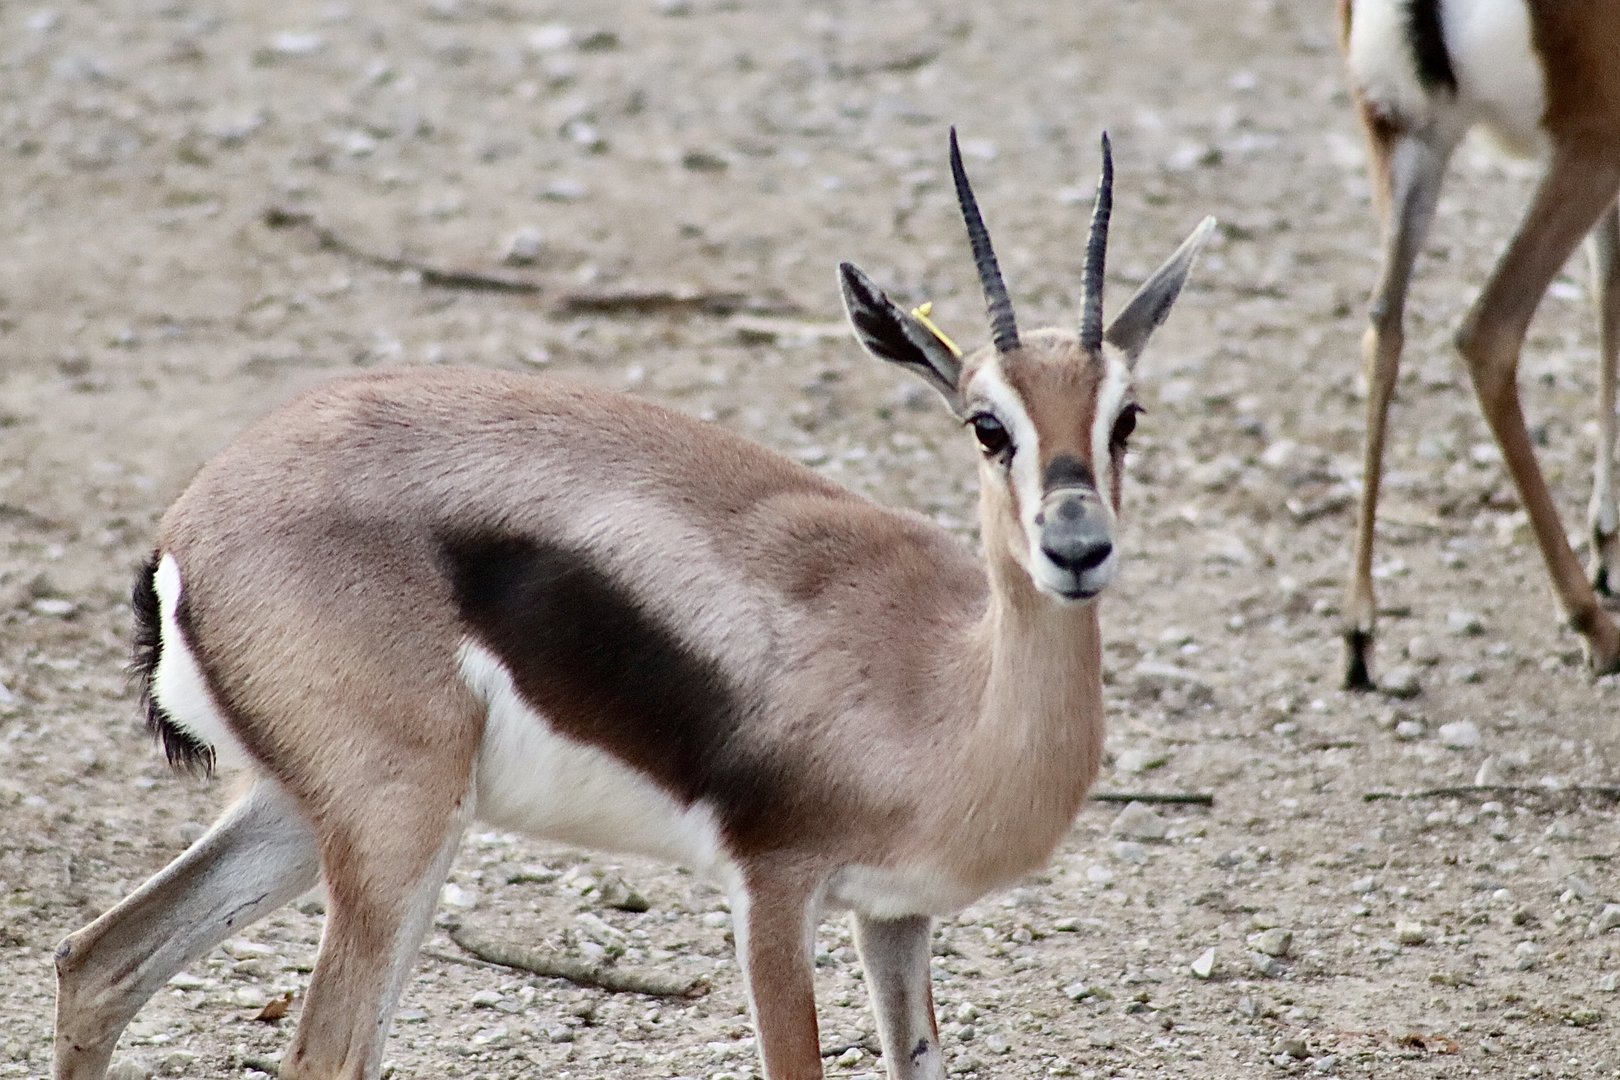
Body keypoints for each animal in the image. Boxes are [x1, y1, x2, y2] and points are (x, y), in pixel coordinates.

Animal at [52, 131, 1214, 1080]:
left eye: (1126, 417)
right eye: (986, 424)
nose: (1077, 548)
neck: (951, 695)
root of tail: (190, 524)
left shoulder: (897, 914)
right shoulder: (774, 890)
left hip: (304, 815)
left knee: (97, 961)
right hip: (398, 830)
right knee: (324, 1053)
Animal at [1338, 0, 1620, 688]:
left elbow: (1608, 283)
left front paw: (1608, 540)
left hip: (1411, 142)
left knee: (1383, 329)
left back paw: (1359, 634)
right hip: (1587, 151)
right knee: (1489, 330)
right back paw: (1595, 629)